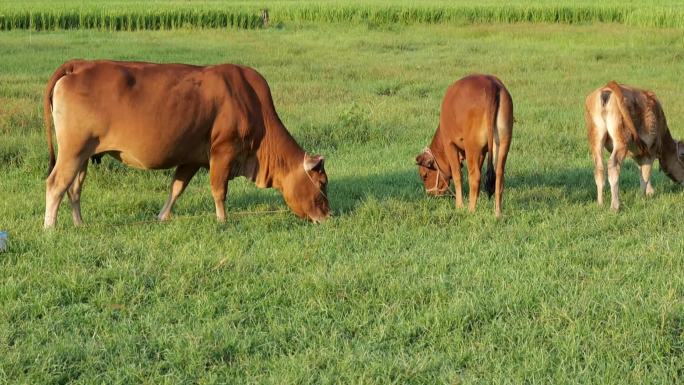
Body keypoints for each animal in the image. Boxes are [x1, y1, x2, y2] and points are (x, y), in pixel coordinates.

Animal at [43, 60, 332, 228]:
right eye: (322, 183)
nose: (329, 216)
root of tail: (79, 65)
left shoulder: (192, 159)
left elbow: (176, 188)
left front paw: (162, 216)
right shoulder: (223, 152)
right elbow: (219, 190)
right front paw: (222, 220)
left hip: (83, 154)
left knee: (74, 189)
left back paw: (80, 224)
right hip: (72, 151)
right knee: (56, 184)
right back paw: (50, 227)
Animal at [414, 74, 510, 216]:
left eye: (424, 175)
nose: (431, 195)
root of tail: (491, 84)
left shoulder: (450, 144)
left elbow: (457, 175)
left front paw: (459, 206)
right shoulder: (482, 152)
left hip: (472, 147)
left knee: (475, 177)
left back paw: (471, 210)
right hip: (502, 144)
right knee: (499, 176)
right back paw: (498, 213)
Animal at [584, 80, 684, 210]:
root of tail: (607, 88)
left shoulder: (639, 154)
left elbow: (641, 171)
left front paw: (649, 192)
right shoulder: (650, 151)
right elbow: (645, 175)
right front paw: (643, 197)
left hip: (596, 137)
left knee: (599, 167)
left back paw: (600, 203)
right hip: (621, 140)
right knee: (613, 165)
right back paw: (615, 206)